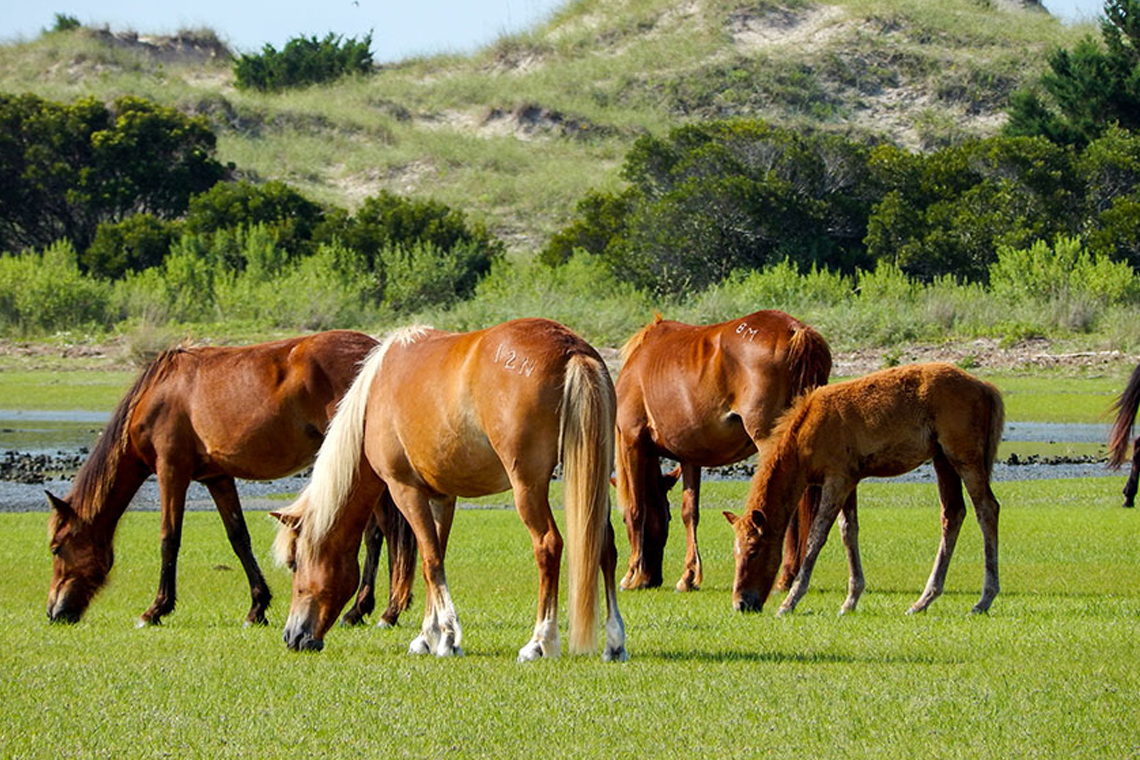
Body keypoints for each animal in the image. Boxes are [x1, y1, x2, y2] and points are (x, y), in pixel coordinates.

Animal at [47, 330, 419, 628]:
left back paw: (379, 611)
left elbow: (170, 537)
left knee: (381, 531)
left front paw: (156, 609)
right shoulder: (218, 477)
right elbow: (239, 537)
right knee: (379, 532)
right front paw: (258, 607)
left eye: (56, 548)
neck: (158, 394)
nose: (54, 612)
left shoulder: (171, 471)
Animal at [272, 319, 629, 660]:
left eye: (295, 564)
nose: (293, 637)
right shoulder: (442, 498)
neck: (374, 398)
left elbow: (430, 561)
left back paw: (539, 642)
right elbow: (436, 559)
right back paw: (614, 642)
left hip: (528, 487)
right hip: (592, 480)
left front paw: (446, 636)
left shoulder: (406, 491)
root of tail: (571, 347)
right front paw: (427, 637)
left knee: (548, 545)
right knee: (605, 547)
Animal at [615, 309, 829, 592]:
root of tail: (795, 330)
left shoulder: (632, 443)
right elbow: (689, 513)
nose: (652, 579)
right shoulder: (689, 457)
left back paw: (785, 576)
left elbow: (636, 507)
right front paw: (688, 576)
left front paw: (630, 575)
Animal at [725, 362, 1003, 619]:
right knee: (952, 514)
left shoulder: (837, 479)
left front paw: (789, 601)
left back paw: (984, 599)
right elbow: (848, 532)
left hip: (964, 456)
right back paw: (923, 600)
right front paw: (850, 600)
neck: (805, 433)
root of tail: (985, 388)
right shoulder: (850, 479)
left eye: (754, 550)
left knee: (987, 509)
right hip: (942, 459)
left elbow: (817, 536)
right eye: (735, 553)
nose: (741, 604)